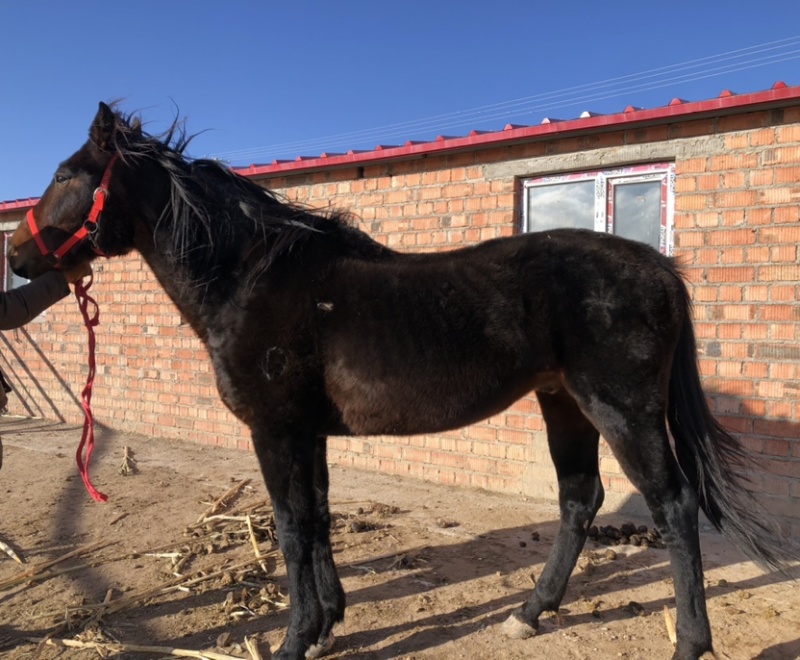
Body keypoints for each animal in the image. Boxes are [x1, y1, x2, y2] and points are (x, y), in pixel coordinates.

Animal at [7, 102, 795, 660]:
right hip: (564, 402)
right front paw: (329, 623)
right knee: (580, 500)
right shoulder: (308, 434)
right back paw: (528, 613)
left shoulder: (277, 431)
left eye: (65, 175)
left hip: (621, 409)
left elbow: (290, 527)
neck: (253, 279)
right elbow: (318, 520)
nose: (16, 256)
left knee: (673, 506)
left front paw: (295, 639)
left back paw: (689, 643)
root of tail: (658, 266)